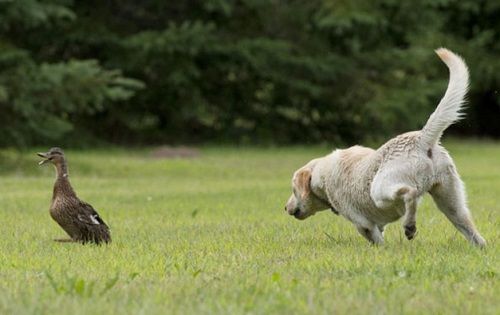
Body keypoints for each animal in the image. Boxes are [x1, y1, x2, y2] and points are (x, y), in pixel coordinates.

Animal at [288, 48, 486, 248]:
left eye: (293, 189)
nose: (285, 207)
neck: (319, 173)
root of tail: (422, 138)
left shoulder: (363, 223)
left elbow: (376, 239)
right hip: (451, 203)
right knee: (474, 234)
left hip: (380, 190)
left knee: (410, 194)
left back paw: (409, 226)